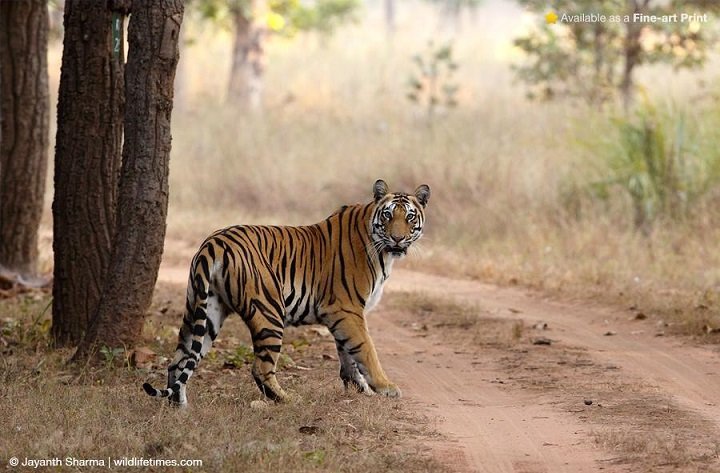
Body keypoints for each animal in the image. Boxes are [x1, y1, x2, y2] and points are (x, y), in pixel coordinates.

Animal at [143, 179, 430, 405]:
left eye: (409, 217)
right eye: (388, 216)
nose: (397, 239)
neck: (383, 251)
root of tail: (214, 243)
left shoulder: (344, 314)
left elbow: (347, 353)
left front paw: (359, 387)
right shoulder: (346, 308)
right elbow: (366, 349)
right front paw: (385, 387)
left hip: (204, 309)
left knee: (179, 361)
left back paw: (179, 408)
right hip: (268, 311)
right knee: (260, 368)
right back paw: (289, 399)